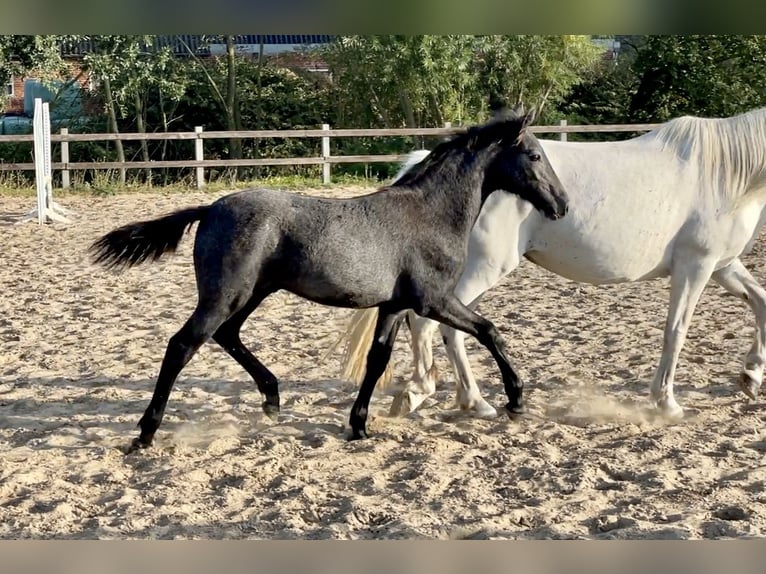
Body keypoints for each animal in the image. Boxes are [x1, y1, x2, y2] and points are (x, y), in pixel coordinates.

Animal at [91, 109, 568, 454]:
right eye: (534, 156)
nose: (561, 204)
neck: (428, 214)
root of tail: (210, 209)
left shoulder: (394, 305)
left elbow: (377, 360)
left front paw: (358, 425)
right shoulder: (432, 299)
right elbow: (489, 330)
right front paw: (516, 400)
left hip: (252, 293)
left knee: (227, 335)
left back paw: (272, 399)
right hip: (224, 295)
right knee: (182, 345)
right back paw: (145, 433)